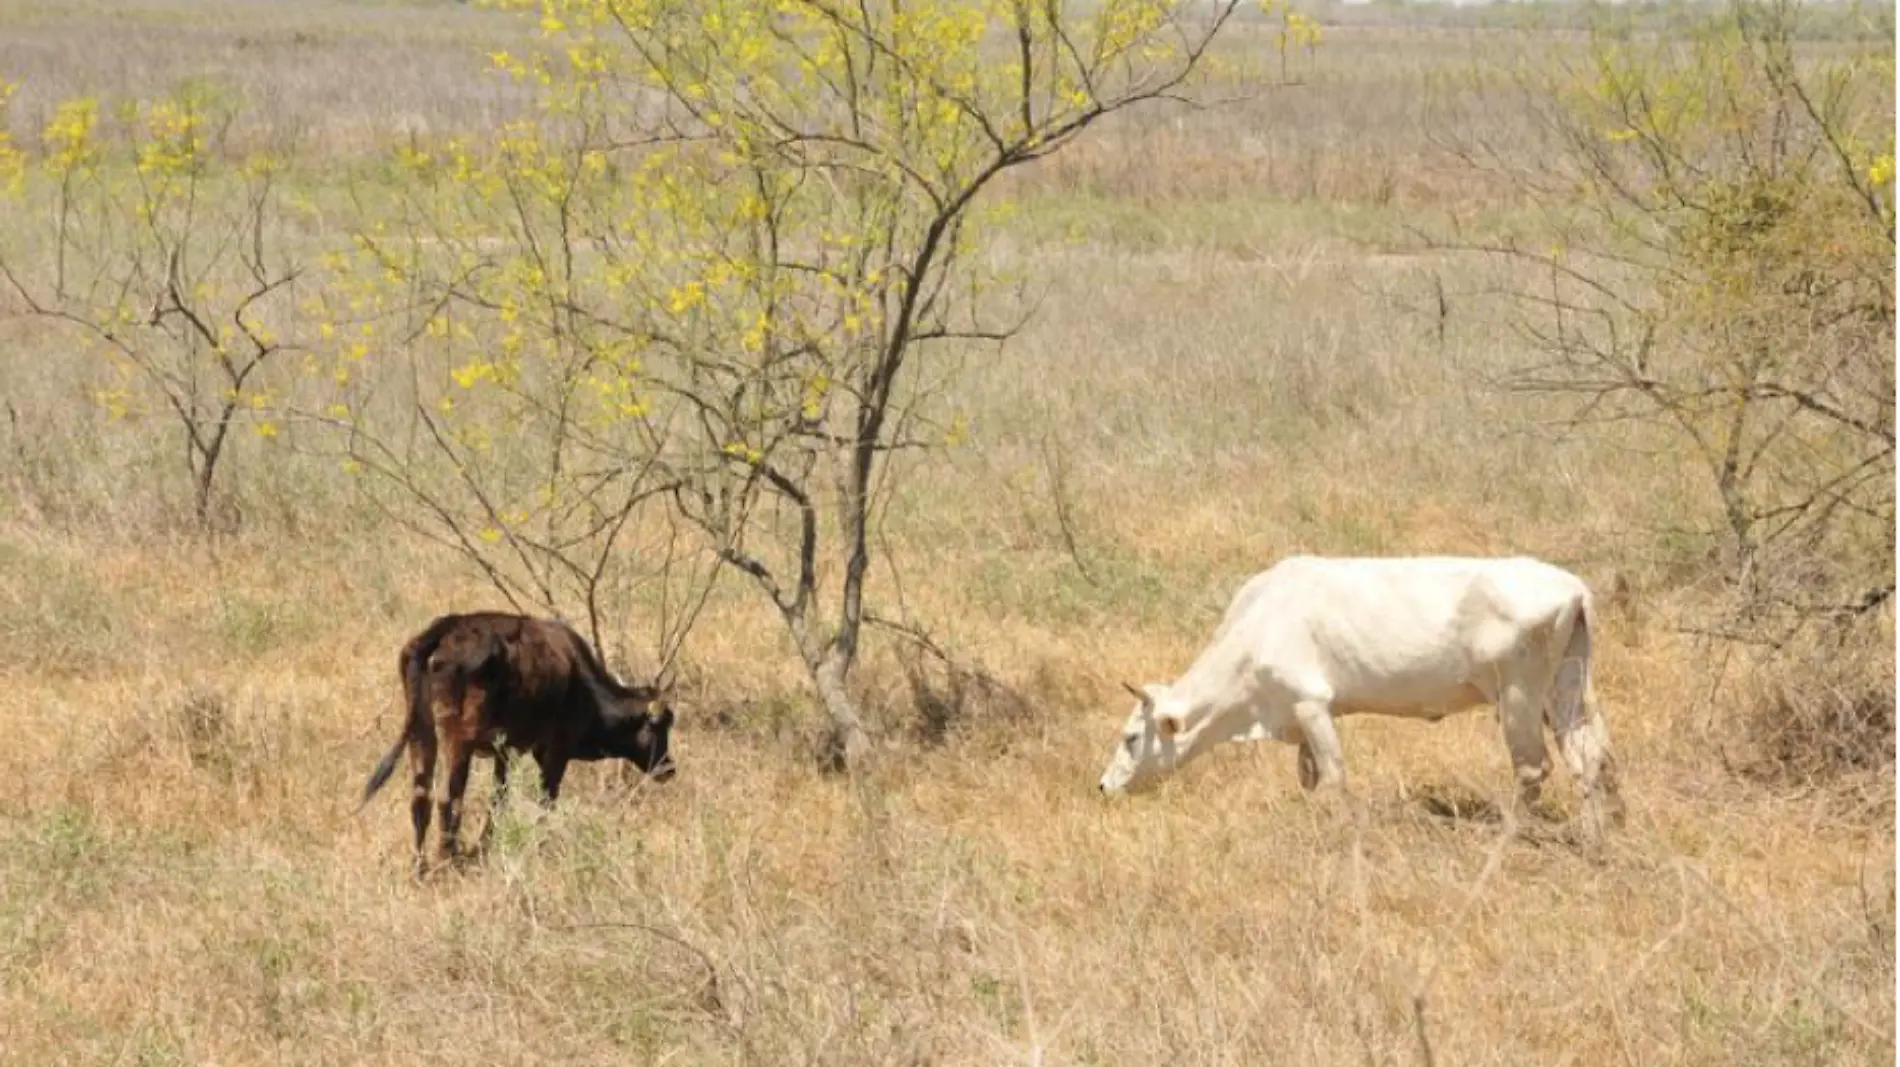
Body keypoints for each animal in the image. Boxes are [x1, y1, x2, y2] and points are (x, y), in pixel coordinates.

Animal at [359, 611, 680, 869]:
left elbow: (498, 799)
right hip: (457, 738)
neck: (581, 682)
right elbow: (545, 802)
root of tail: (445, 629)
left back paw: (420, 866)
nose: (668, 769)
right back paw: (448, 857)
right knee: (448, 798)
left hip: (421, 730)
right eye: (658, 726)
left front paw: (485, 846)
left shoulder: (505, 753)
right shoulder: (554, 753)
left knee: (421, 796)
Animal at [1102, 558, 1618, 831]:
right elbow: (1310, 776)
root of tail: (1573, 587)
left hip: (1518, 694)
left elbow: (1334, 775)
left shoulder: (1310, 703)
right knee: (1592, 756)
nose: (1104, 785)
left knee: (1534, 767)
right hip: (1568, 687)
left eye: (1131, 737)